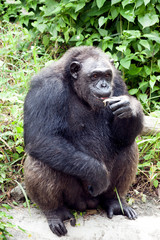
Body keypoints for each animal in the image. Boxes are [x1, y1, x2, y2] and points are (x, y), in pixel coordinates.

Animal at [23, 46, 144, 237]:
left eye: (107, 75)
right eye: (94, 76)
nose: (103, 85)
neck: (75, 88)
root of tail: (88, 205)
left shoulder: (118, 82)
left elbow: (120, 136)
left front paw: (130, 106)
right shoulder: (44, 89)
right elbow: (42, 137)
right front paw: (99, 175)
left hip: (98, 197)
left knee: (128, 146)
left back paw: (115, 201)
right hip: (74, 196)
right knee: (41, 160)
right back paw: (55, 212)